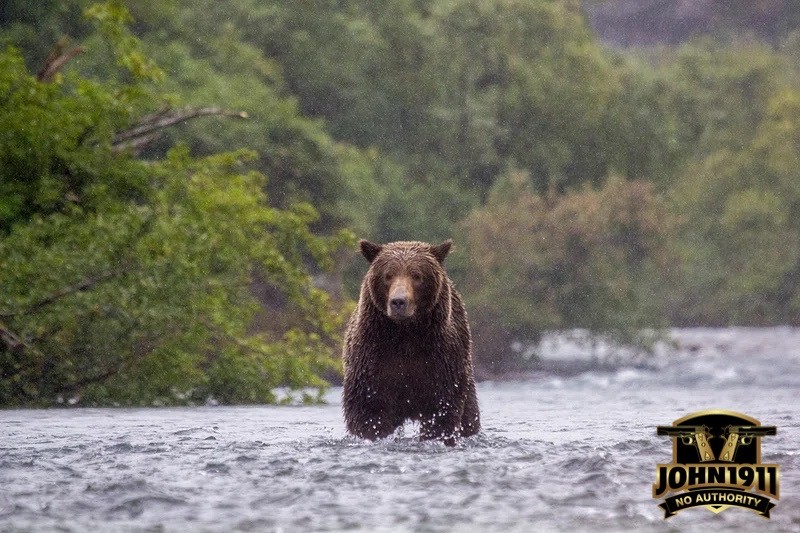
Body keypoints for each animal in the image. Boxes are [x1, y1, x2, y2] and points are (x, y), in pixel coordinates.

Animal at [340, 239, 478, 442]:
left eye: (417, 275)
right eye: (388, 275)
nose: (398, 302)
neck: (405, 334)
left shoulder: (441, 360)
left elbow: (442, 409)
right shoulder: (372, 358)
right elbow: (368, 411)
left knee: (469, 416)